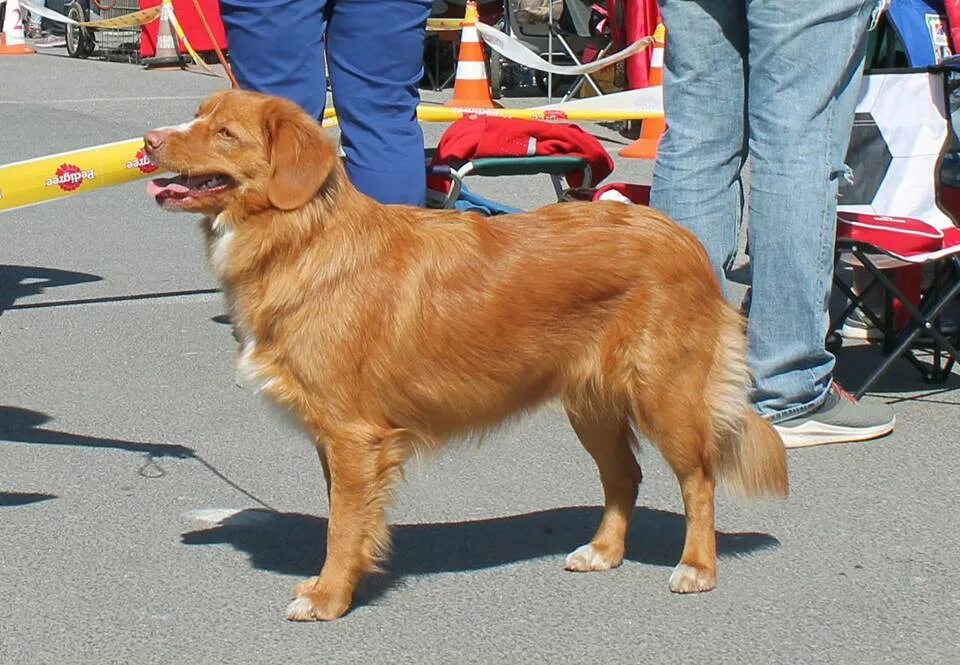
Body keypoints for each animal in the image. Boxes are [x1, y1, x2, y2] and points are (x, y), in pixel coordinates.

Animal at [144, 91, 788, 620]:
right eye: (197, 116)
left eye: (225, 132)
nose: (149, 142)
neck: (302, 237)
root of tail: (683, 237)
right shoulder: (337, 439)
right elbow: (345, 517)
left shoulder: (354, 435)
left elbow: (343, 526)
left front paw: (329, 597)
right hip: (591, 405)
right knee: (624, 475)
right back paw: (603, 551)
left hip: (665, 396)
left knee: (698, 479)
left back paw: (697, 567)